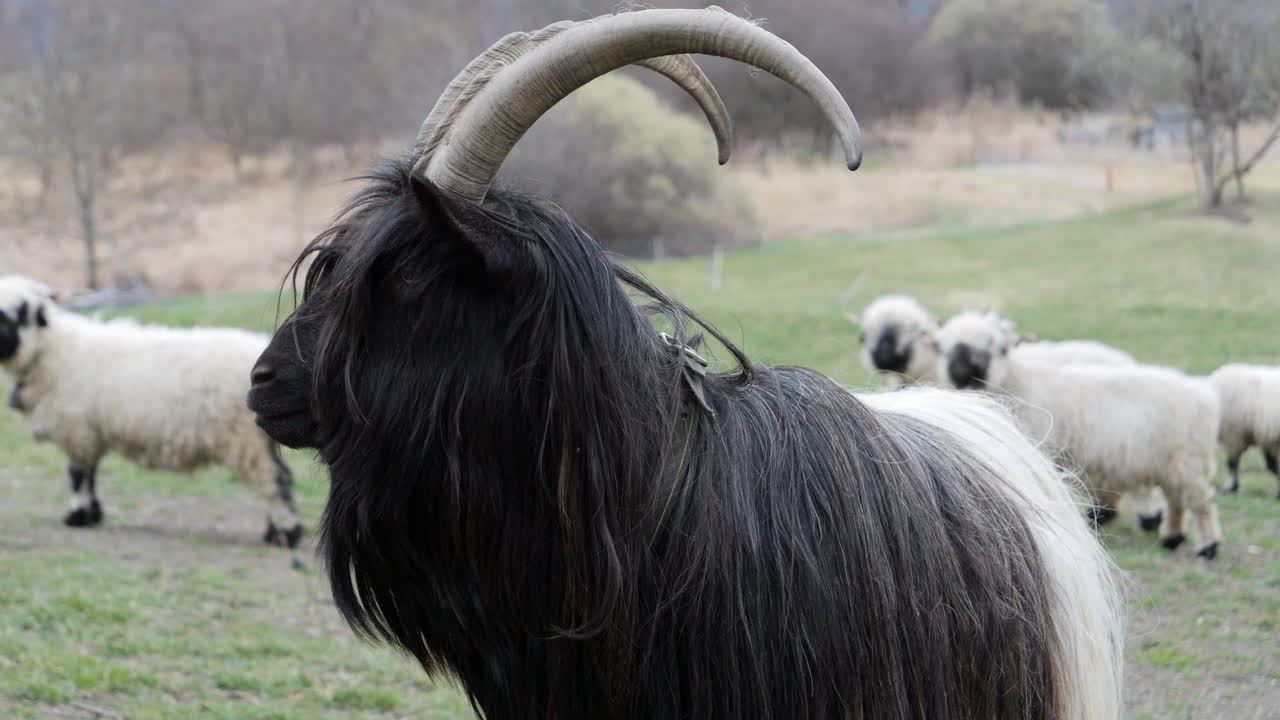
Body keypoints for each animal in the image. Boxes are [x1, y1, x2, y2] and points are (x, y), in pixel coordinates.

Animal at [0, 275, 302, 547]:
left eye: (20, 313)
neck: (52, 351)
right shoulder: (89, 431)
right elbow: (90, 475)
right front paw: (92, 516)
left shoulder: (77, 431)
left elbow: (78, 476)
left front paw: (78, 517)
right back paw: (276, 531)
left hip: (245, 440)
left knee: (273, 481)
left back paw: (285, 534)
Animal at [937, 310, 1222, 558]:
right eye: (945, 348)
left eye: (1000, 348)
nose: (961, 375)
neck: (1019, 383)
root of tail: (1205, 394)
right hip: (1173, 465)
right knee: (1176, 500)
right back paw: (1171, 538)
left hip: (1187, 461)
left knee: (1201, 503)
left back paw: (1207, 547)